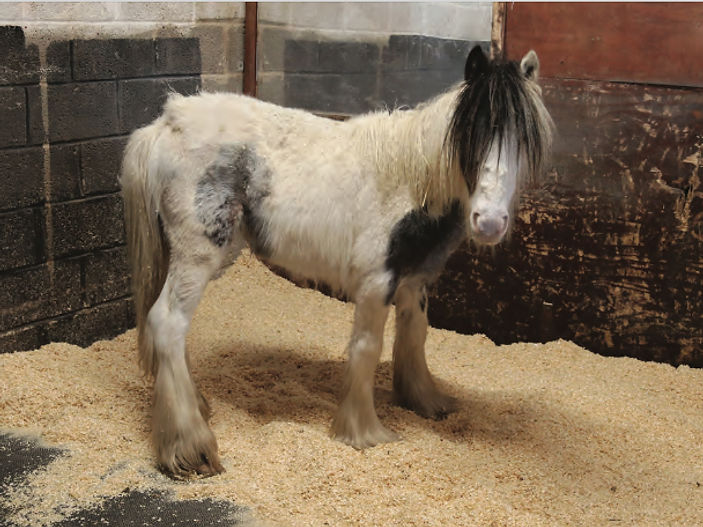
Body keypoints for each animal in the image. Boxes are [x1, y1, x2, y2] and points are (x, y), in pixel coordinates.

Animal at [120, 45, 553, 478]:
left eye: (523, 140)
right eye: (471, 135)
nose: (490, 222)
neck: (412, 181)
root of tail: (166, 123)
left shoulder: (414, 281)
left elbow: (415, 336)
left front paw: (425, 400)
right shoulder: (376, 283)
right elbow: (366, 348)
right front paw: (363, 431)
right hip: (199, 254)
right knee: (168, 323)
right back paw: (190, 446)